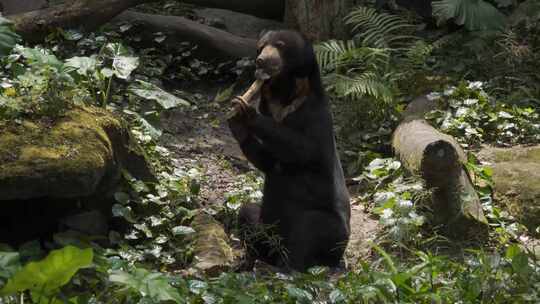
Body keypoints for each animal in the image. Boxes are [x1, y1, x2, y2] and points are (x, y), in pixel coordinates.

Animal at [227, 29, 350, 272]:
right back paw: (249, 261)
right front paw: (236, 123)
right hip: (266, 227)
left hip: (333, 234)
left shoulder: (315, 116)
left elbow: (304, 149)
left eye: (280, 45)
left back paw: (287, 268)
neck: (284, 98)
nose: (261, 60)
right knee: (247, 212)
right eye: (260, 47)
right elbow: (271, 163)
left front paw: (246, 112)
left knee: (310, 226)